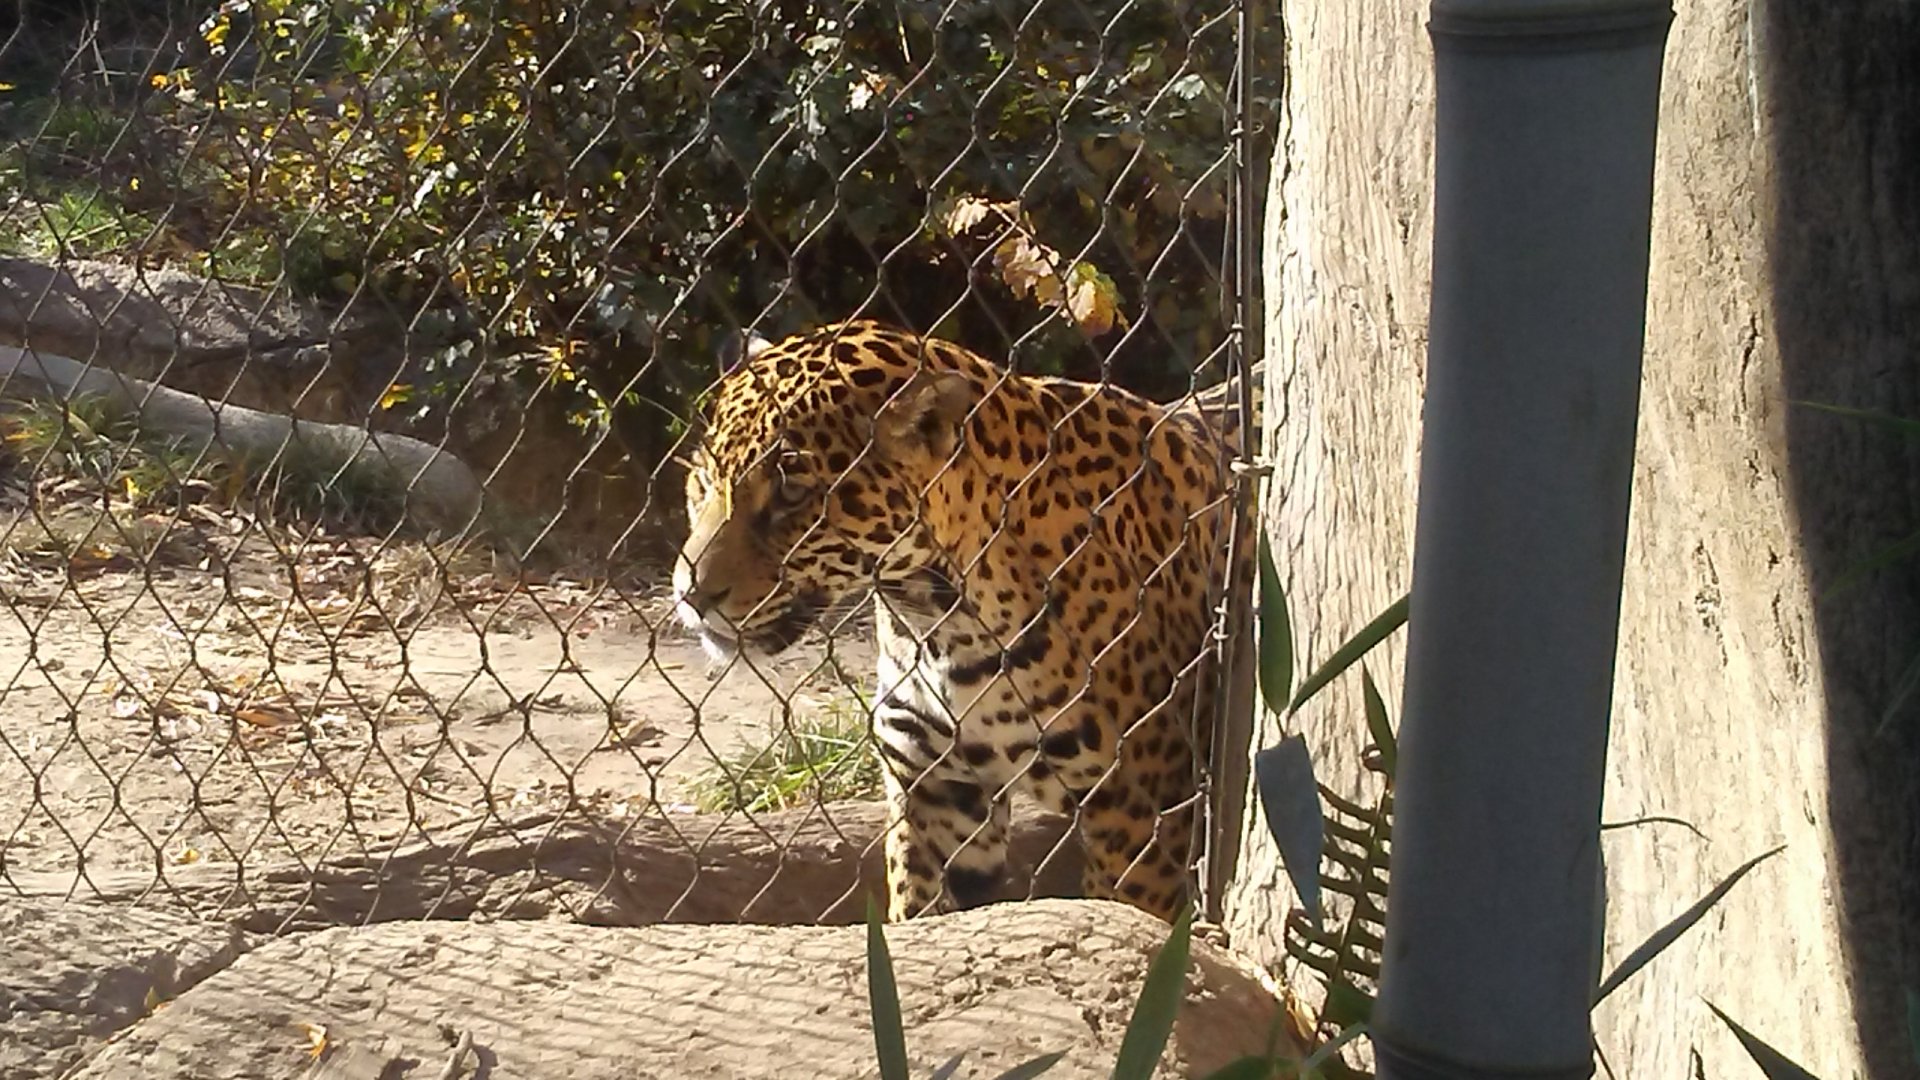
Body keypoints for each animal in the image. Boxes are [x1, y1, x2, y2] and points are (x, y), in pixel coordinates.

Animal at [671, 319, 1255, 923]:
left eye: (793, 493)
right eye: (703, 480)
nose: (691, 594)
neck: (941, 618)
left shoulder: (1141, 814)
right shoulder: (935, 791)